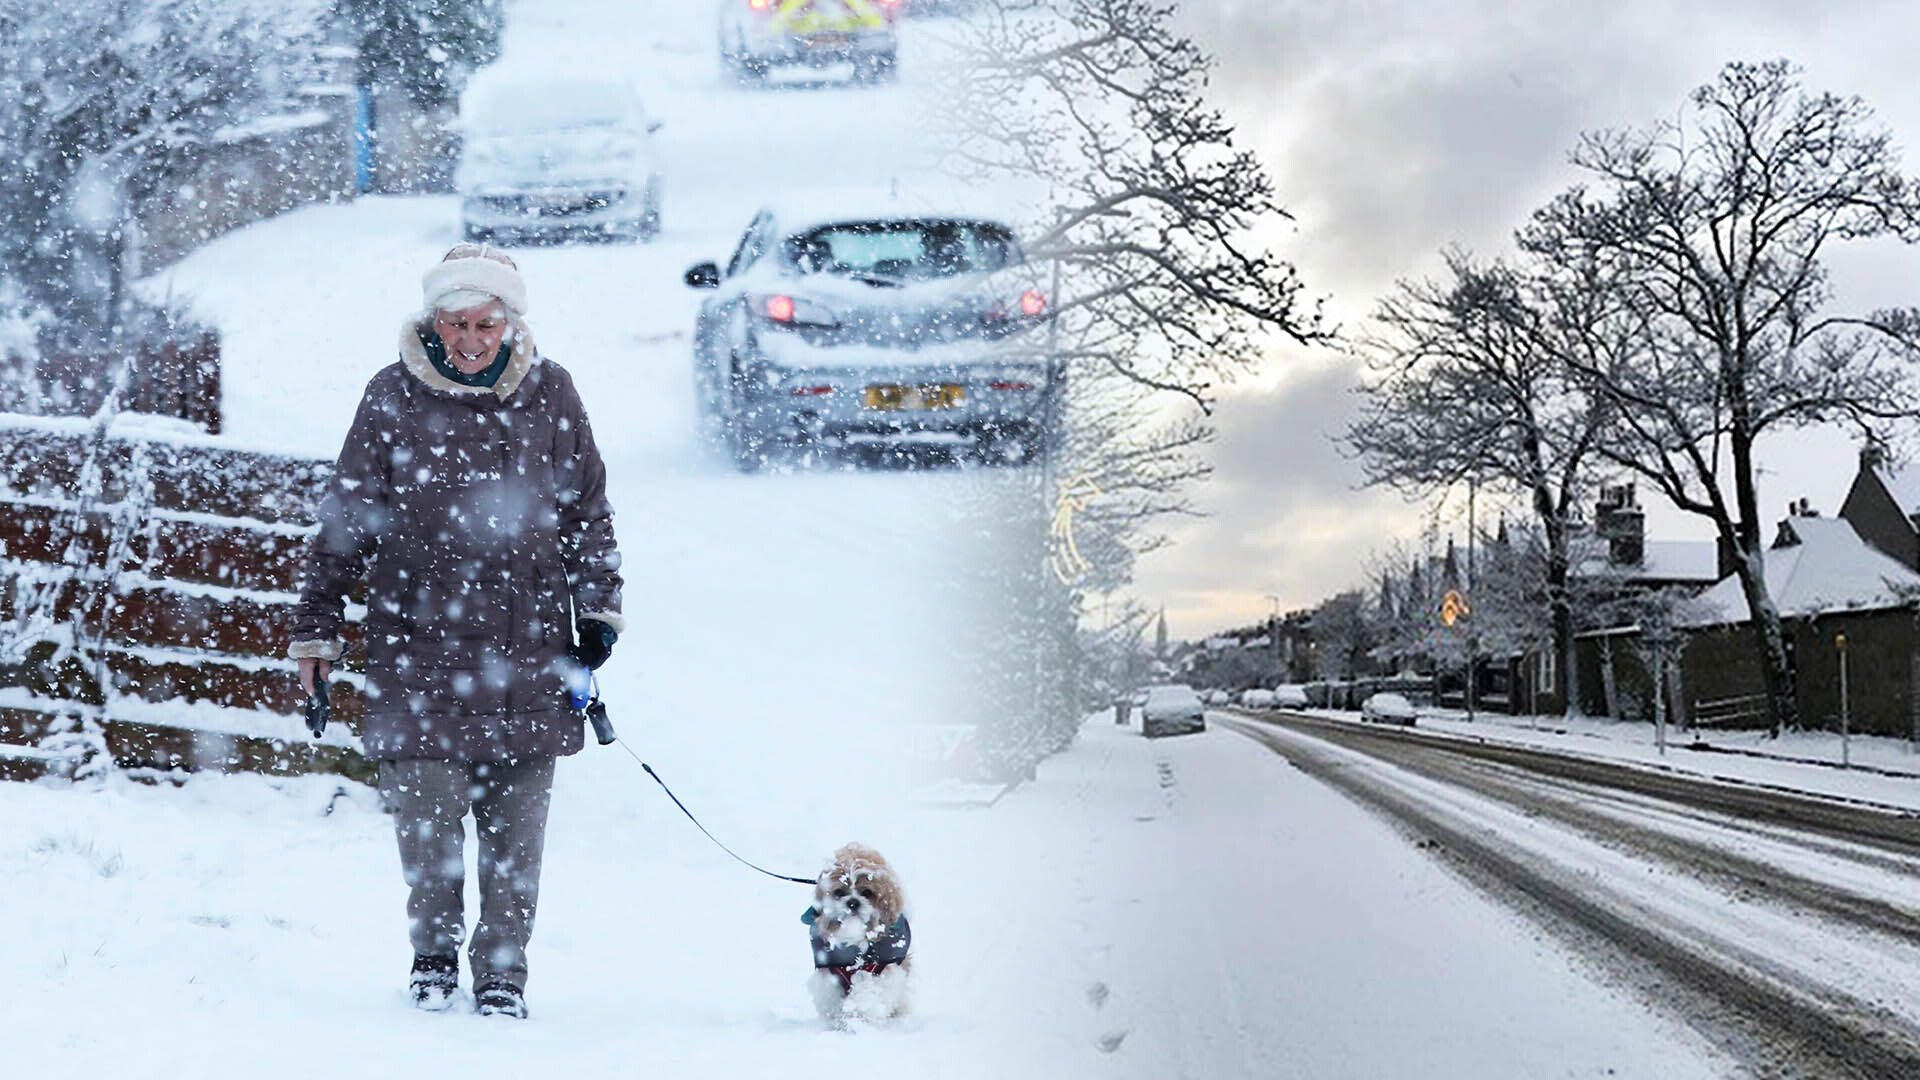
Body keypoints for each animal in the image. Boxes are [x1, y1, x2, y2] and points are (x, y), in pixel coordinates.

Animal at [798, 841, 910, 1014]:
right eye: (839, 892)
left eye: (867, 892)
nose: (852, 902)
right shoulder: (830, 973)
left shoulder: (879, 970)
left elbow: (867, 994)